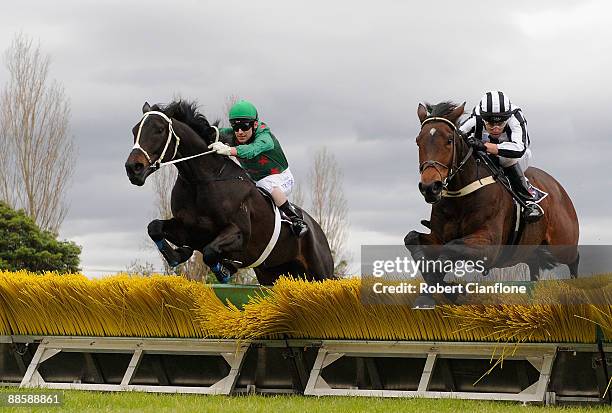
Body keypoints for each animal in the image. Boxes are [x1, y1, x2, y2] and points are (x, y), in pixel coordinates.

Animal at [125, 101, 334, 284]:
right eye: (134, 131)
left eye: (159, 130)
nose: (133, 168)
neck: (202, 180)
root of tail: (317, 228)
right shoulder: (190, 230)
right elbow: (155, 227)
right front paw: (179, 254)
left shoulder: (239, 233)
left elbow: (210, 252)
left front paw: (226, 269)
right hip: (273, 272)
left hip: (320, 272)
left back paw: (299, 224)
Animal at [404, 100, 580, 306]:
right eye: (418, 141)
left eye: (449, 140)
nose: (430, 187)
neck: (461, 195)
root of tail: (560, 189)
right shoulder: (438, 237)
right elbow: (412, 239)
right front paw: (436, 291)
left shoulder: (490, 244)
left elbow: (451, 248)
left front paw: (450, 290)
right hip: (531, 249)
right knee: (535, 268)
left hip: (563, 244)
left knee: (574, 259)